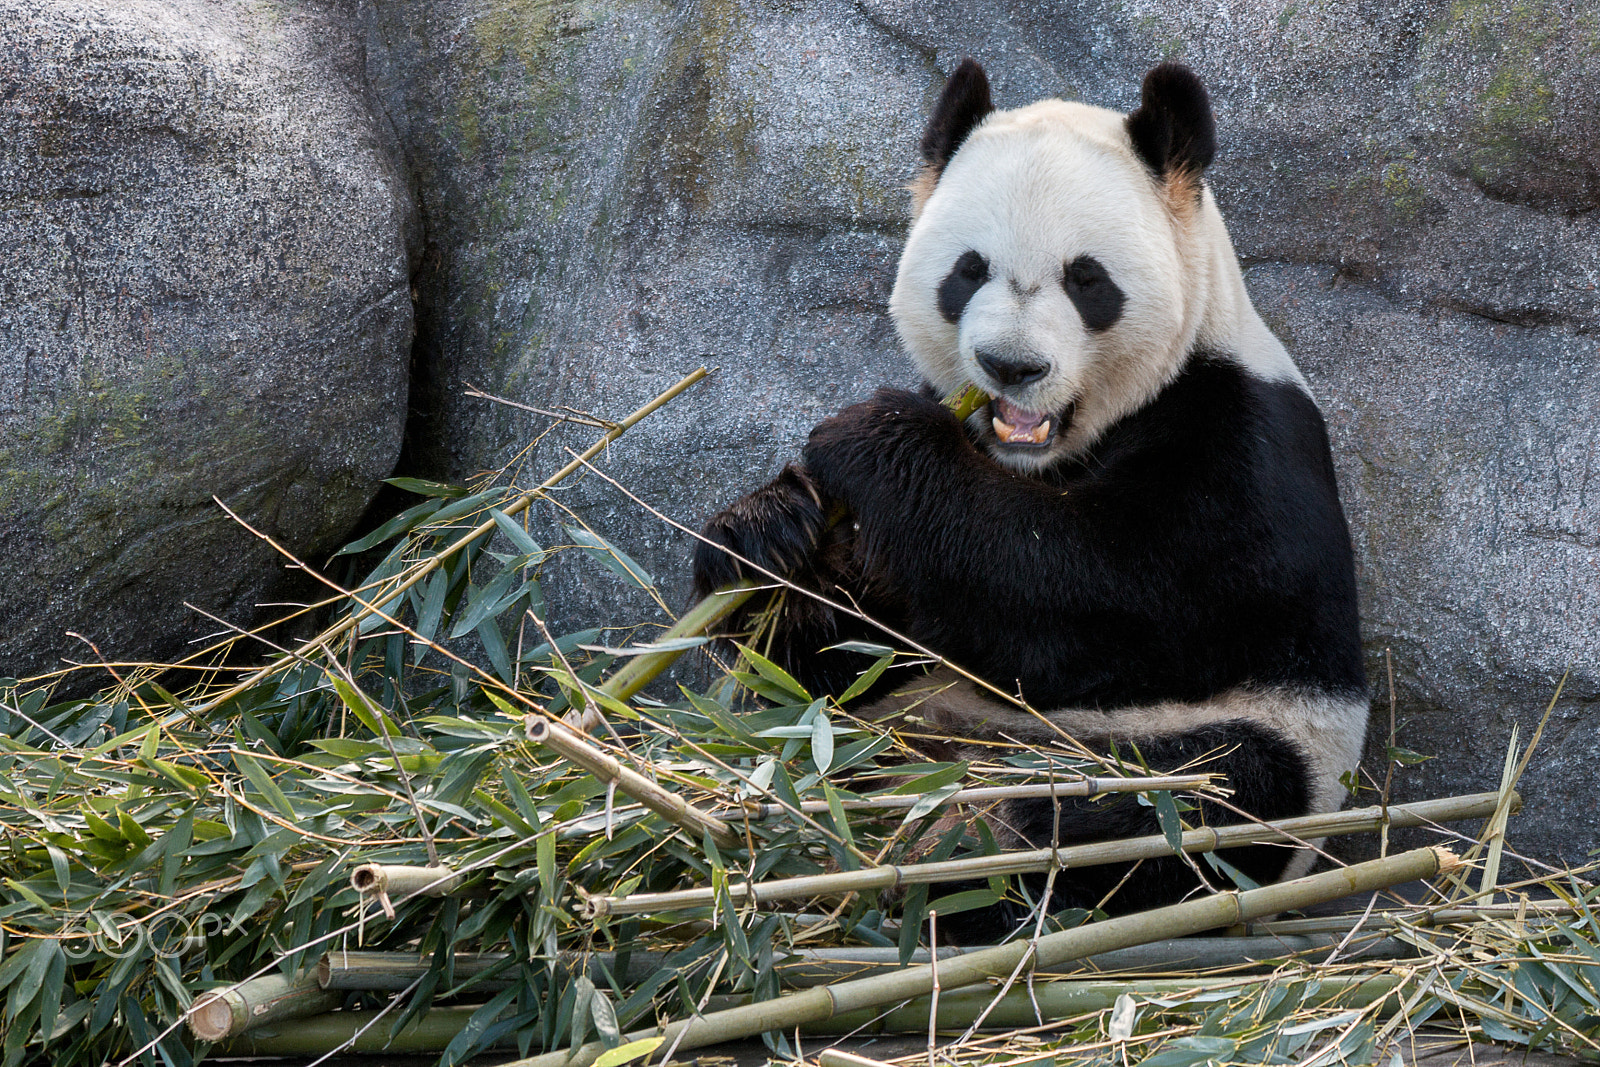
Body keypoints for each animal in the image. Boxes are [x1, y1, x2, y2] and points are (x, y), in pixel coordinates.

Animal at [692, 59, 1368, 932]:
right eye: (968, 269)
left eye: (1086, 278)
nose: (1011, 366)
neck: (1044, 458)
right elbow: (842, 650)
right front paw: (764, 536)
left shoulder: (1241, 451)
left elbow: (1088, 597)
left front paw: (875, 439)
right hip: (869, 732)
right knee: (816, 742)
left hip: (1258, 749)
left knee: (1178, 804)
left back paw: (964, 846)